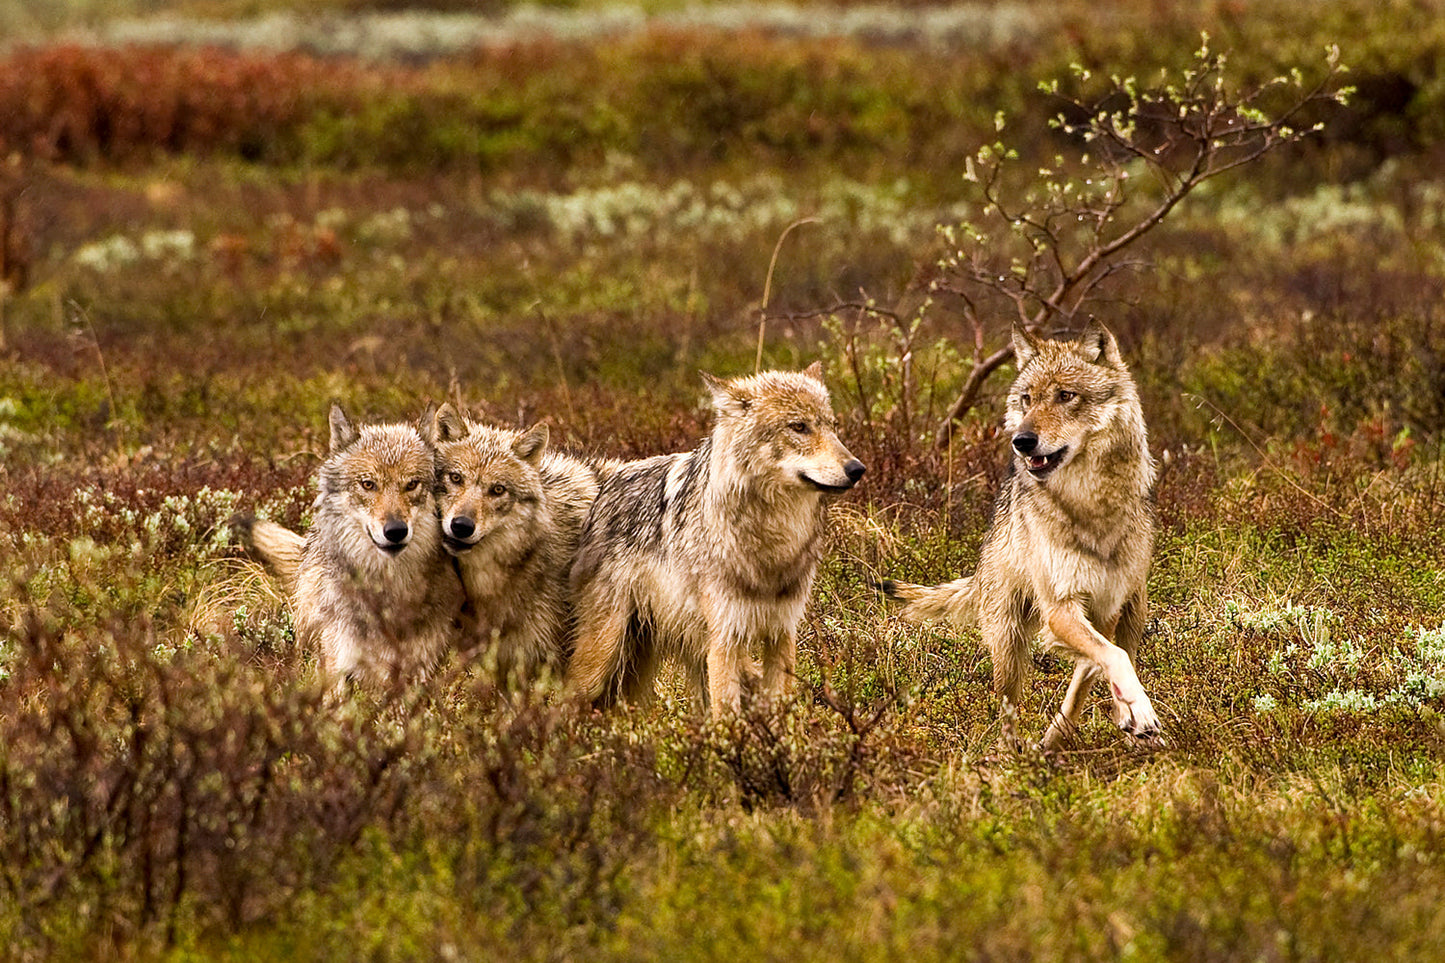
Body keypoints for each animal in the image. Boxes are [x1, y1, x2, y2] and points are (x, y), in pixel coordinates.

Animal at [234, 403, 463, 689]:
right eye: (368, 484)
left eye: (411, 484)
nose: (395, 531)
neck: (389, 588)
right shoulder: (338, 664)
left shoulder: (421, 668)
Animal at [567, 363, 865, 715]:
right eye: (799, 427)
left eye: (833, 427)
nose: (857, 469)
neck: (771, 542)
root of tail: (604, 486)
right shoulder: (725, 637)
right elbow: (726, 716)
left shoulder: (781, 632)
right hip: (601, 657)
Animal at [881, 320, 1161, 748]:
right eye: (1027, 399)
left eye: (1066, 396)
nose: (1022, 441)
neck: (1090, 505)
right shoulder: (1060, 607)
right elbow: (1110, 658)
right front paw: (1138, 710)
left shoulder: (1106, 607)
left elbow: (1103, 663)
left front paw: (1131, 712)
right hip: (1009, 642)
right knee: (1010, 706)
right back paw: (1015, 753)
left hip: (1135, 611)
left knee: (1098, 665)